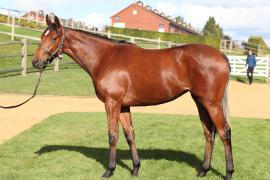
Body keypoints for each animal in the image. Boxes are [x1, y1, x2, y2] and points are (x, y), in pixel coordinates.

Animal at [31, 15, 233, 179]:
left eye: (54, 38)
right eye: (41, 37)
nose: (36, 61)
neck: (105, 58)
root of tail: (222, 56)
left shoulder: (112, 103)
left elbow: (113, 135)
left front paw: (109, 170)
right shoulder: (123, 106)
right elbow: (130, 135)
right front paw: (135, 168)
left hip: (212, 103)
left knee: (224, 132)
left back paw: (228, 173)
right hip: (200, 102)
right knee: (209, 134)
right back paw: (203, 171)